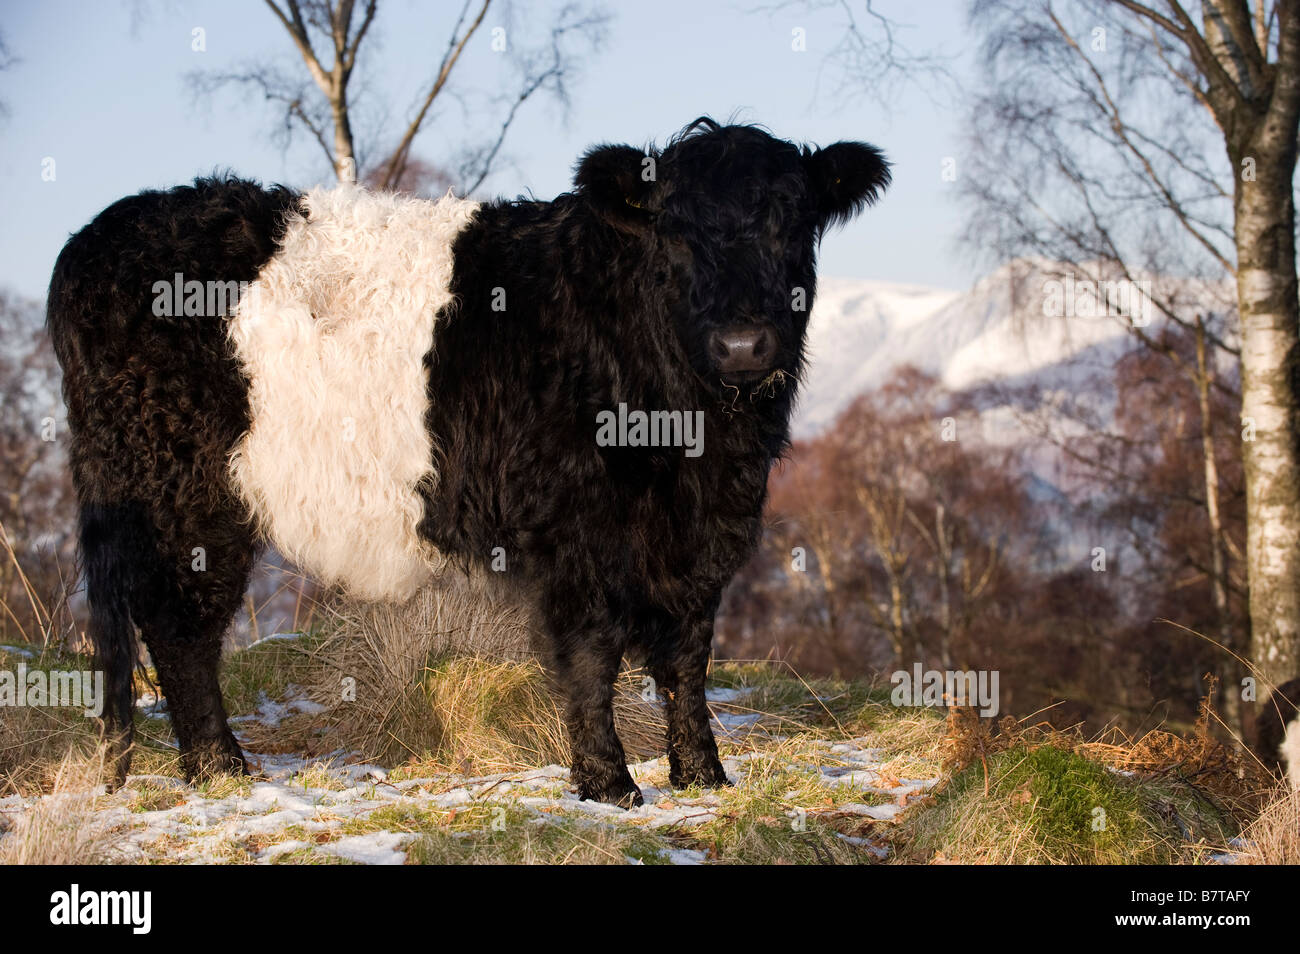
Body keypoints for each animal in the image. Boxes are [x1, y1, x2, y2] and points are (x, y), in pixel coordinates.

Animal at [45, 119, 889, 805]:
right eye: (674, 228)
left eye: (792, 218)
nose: (743, 344)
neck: (698, 434)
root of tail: (107, 230)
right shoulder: (579, 529)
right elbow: (593, 653)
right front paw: (609, 785)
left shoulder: (701, 532)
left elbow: (687, 654)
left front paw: (704, 777)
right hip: (182, 493)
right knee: (179, 628)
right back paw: (222, 768)